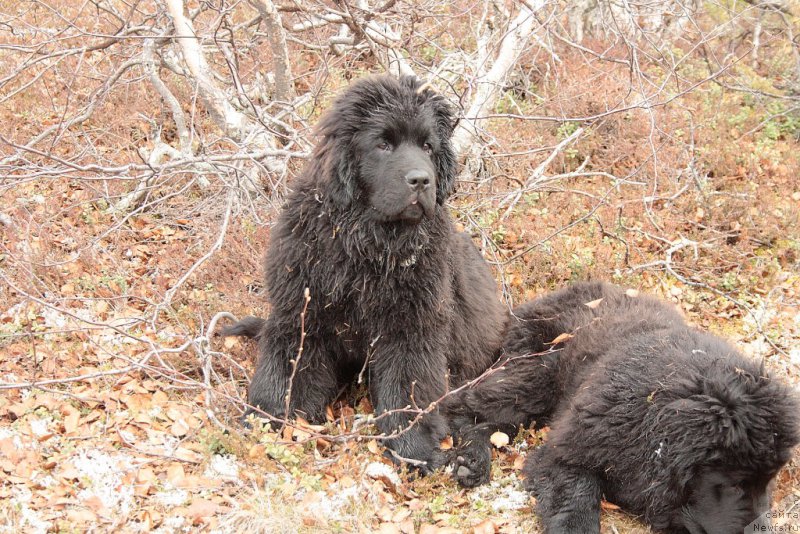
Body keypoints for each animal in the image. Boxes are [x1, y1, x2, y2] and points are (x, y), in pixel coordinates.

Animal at [222, 76, 504, 474]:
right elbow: (286, 368)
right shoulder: (301, 309)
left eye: (428, 146)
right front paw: (265, 420)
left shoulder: (412, 328)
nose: (422, 180)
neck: (367, 245)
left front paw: (413, 448)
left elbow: (407, 389)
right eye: (383, 143)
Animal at [446, 282, 796, 532]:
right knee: (462, 407)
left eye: (770, 481)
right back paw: (471, 458)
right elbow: (578, 495)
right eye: (735, 484)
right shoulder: (568, 451)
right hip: (536, 374)